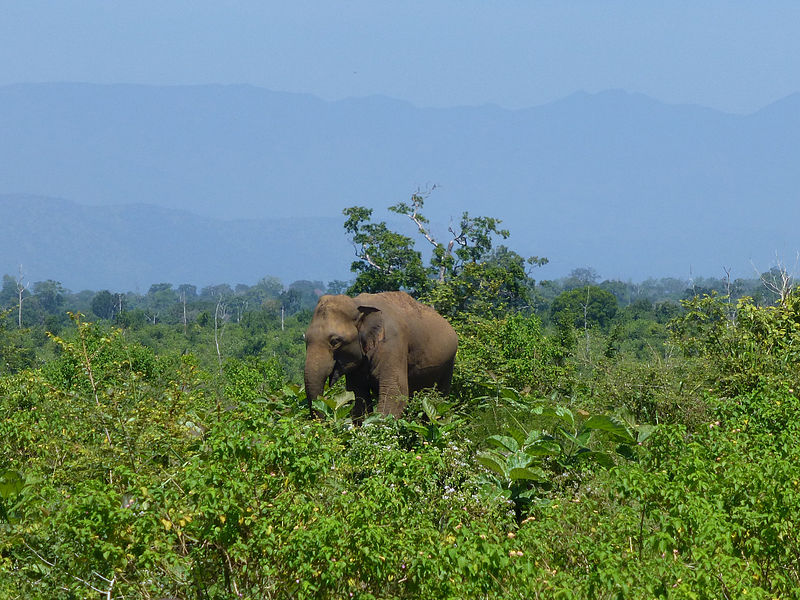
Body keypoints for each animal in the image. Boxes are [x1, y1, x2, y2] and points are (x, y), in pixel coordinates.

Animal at [304, 290, 460, 418]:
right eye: (306, 339)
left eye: (335, 341)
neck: (357, 303)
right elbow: (358, 395)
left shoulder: (393, 343)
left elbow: (395, 393)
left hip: (448, 365)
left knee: (437, 401)